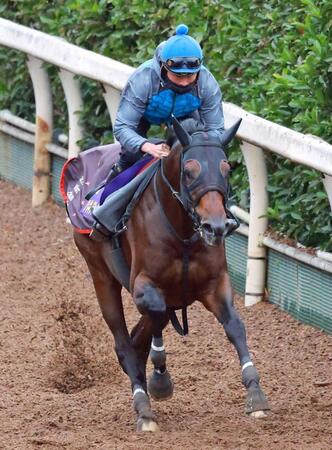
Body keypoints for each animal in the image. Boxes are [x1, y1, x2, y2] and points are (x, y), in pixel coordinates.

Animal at [73, 117, 270, 432]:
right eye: (189, 172)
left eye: (227, 168)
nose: (216, 226)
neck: (183, 233)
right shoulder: (144, 286)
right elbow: (154, 314)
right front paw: (160, 381)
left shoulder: (214, 285)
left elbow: (235, 327)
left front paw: (256, 395)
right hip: (100, 273)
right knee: (125, 342)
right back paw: (143, 408)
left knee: (139, 337)